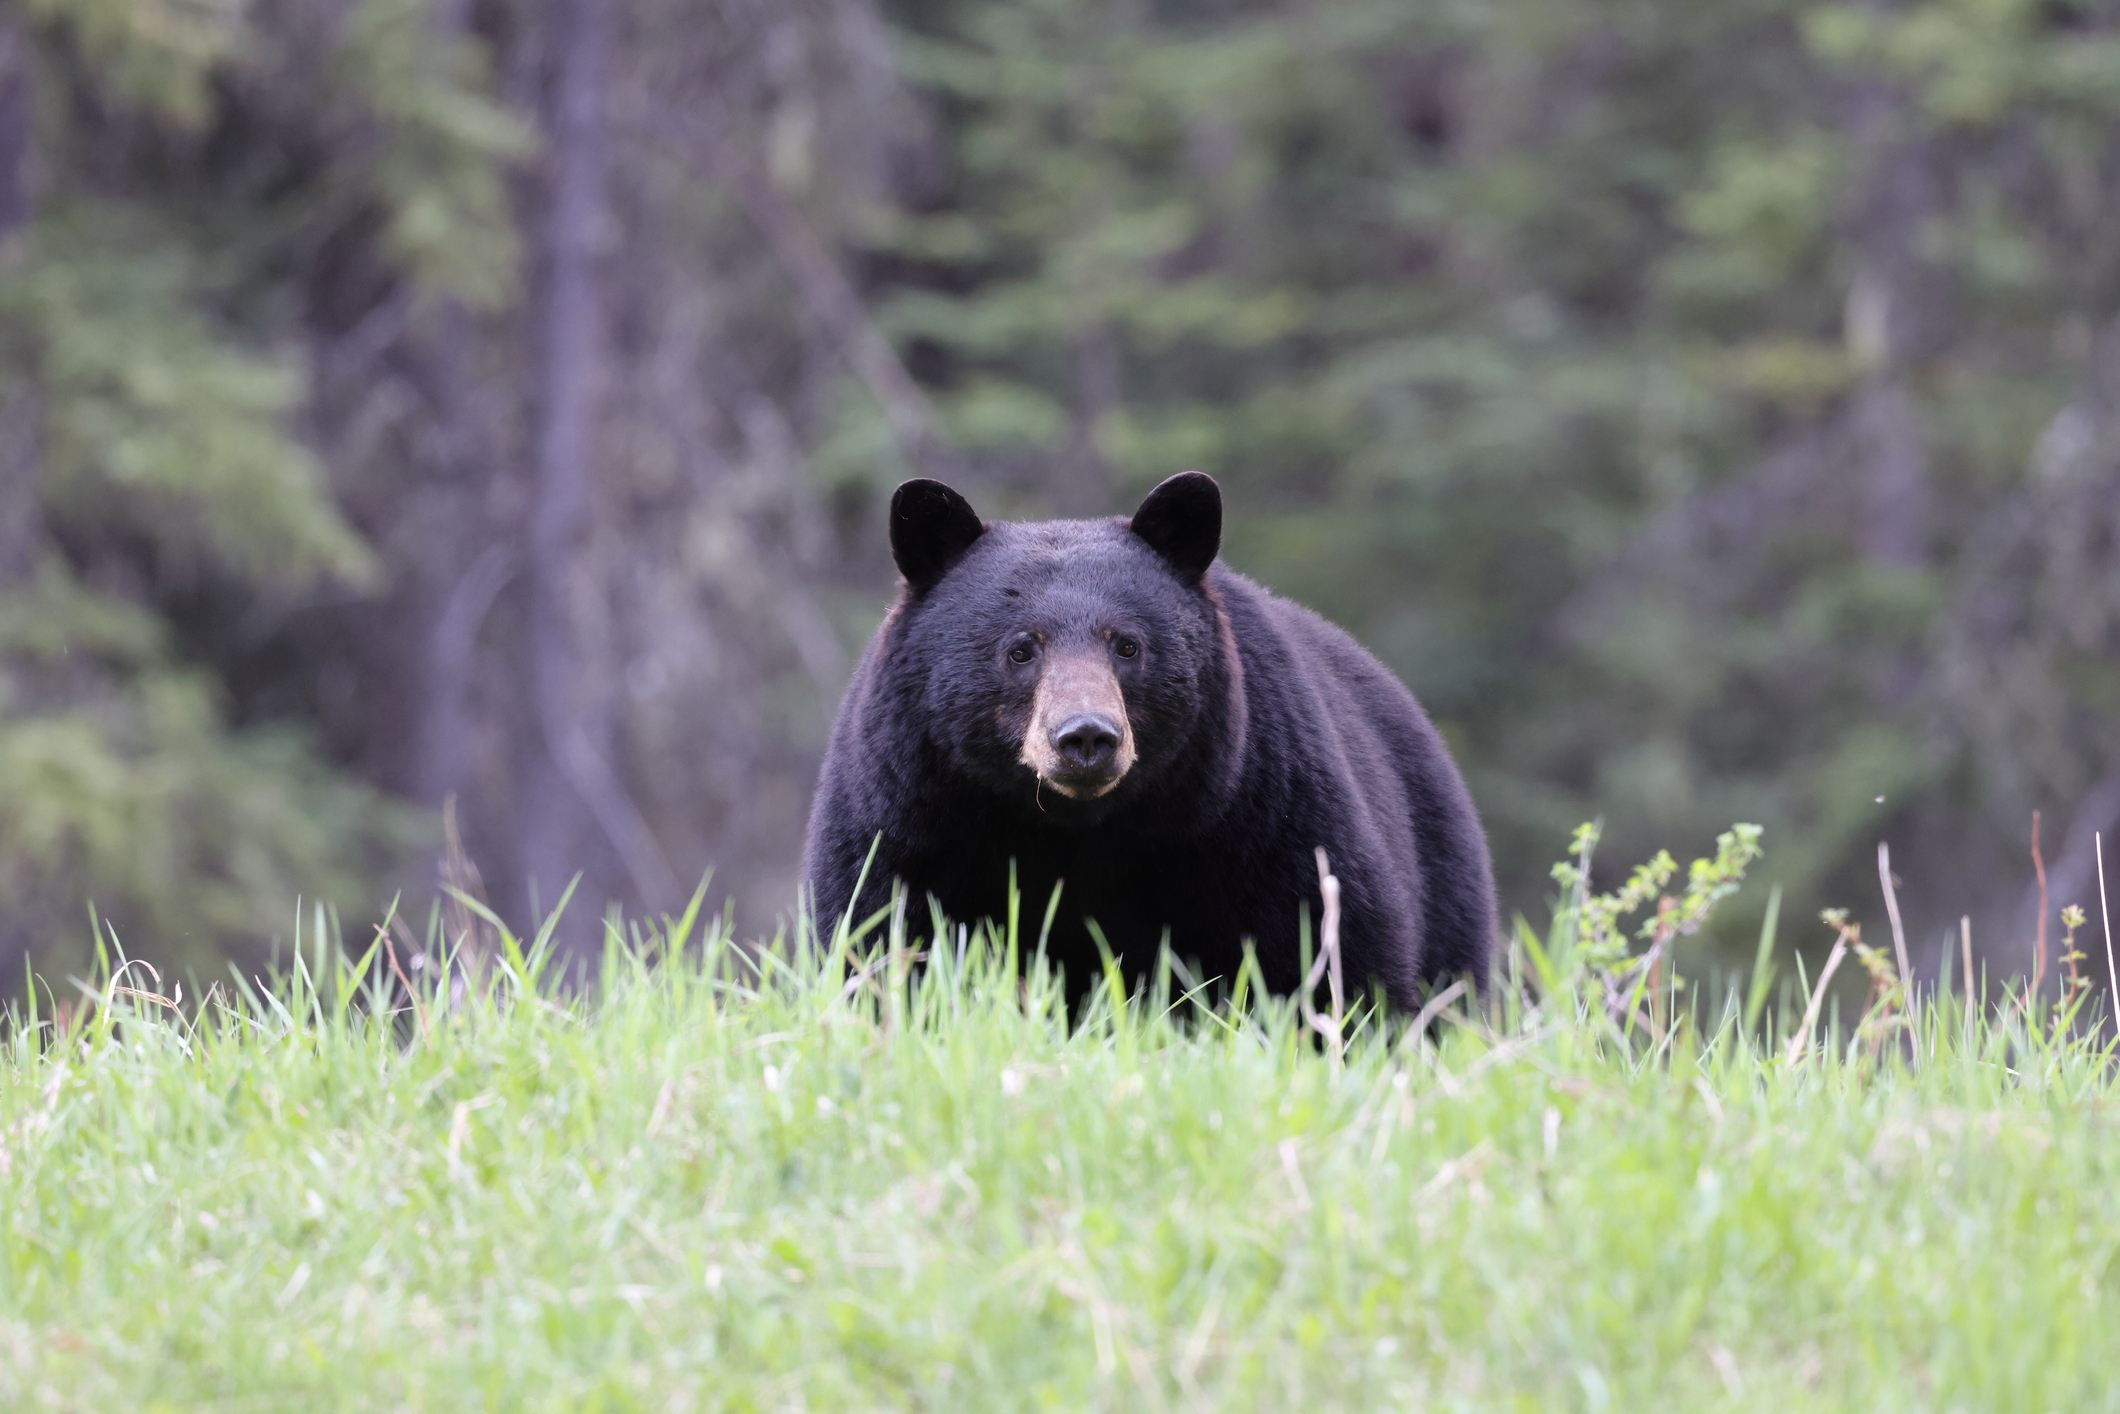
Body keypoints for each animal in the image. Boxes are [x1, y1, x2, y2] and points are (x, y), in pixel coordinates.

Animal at [801, 471, 1497, 1011]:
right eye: (1021, 649)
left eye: (1128, 645)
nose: (1085, 737)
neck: (1076, 832)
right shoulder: (909, 823)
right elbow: (880, 945)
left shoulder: (1265, 814)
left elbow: (1328, 954)